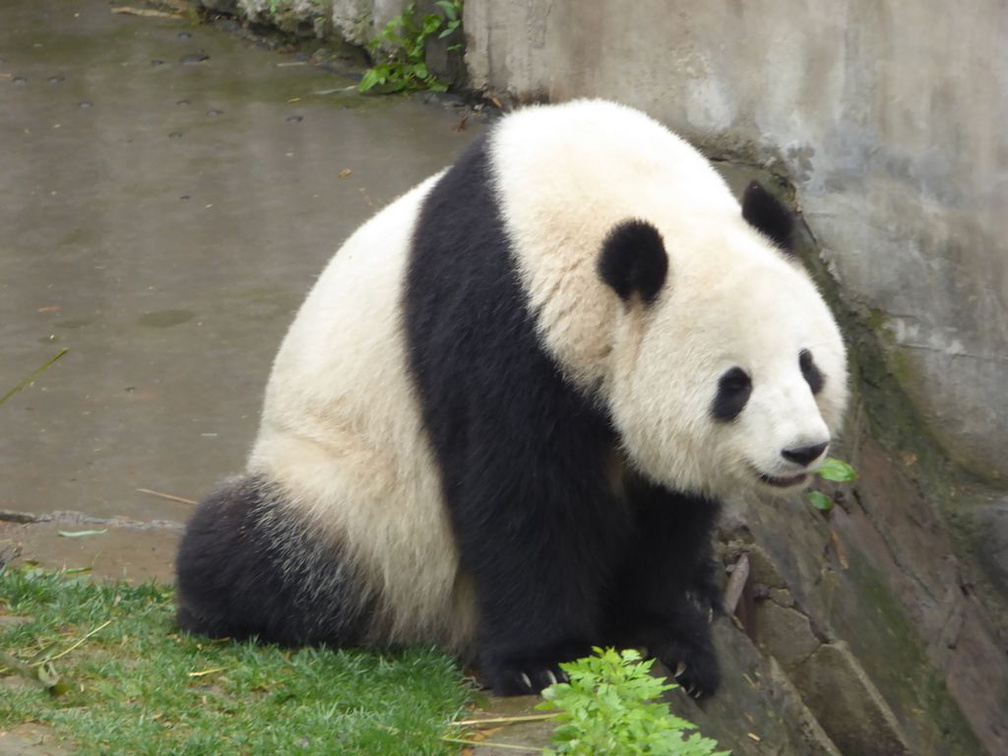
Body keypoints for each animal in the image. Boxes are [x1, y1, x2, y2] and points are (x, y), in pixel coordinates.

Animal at [177, 99, 846, 697]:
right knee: (269, 549)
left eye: (808, 366)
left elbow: (667, 511)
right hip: (357, 505)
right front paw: (540, 662)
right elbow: (522, 491)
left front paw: (674, 638)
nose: (803, 449)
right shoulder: (500, 320)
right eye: (735, 385)